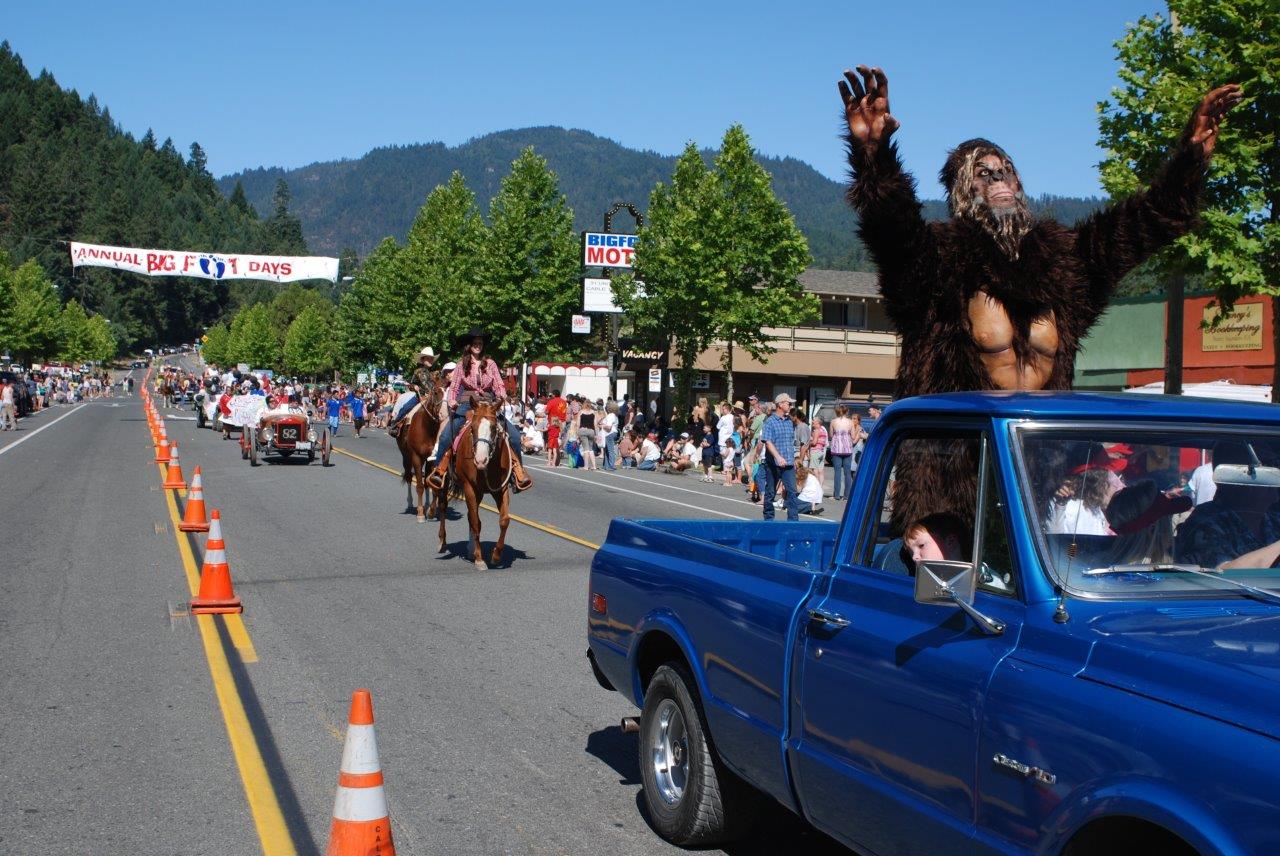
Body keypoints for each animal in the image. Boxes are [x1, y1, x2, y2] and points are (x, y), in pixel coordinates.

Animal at [394, 371, 445, 522]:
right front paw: (421, 513)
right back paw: (411, 503)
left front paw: (431, 511)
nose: (443, 413)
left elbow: (429, 483)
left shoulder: (432, 459)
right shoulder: (416, 457)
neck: (427, 428)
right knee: (409, 477)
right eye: (436, 392)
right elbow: (420, 486)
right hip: (406, 456)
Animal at [440, 399, 514, 570]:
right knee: (443, 507)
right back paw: (442, 542)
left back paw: (470, 550)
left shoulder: (501, 489)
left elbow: (504, 520)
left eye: (493, 428)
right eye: (472, 428)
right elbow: (476, 522)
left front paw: (496, 555)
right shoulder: (469, 487)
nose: (480, 460)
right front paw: (479, 559)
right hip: (447, 483)